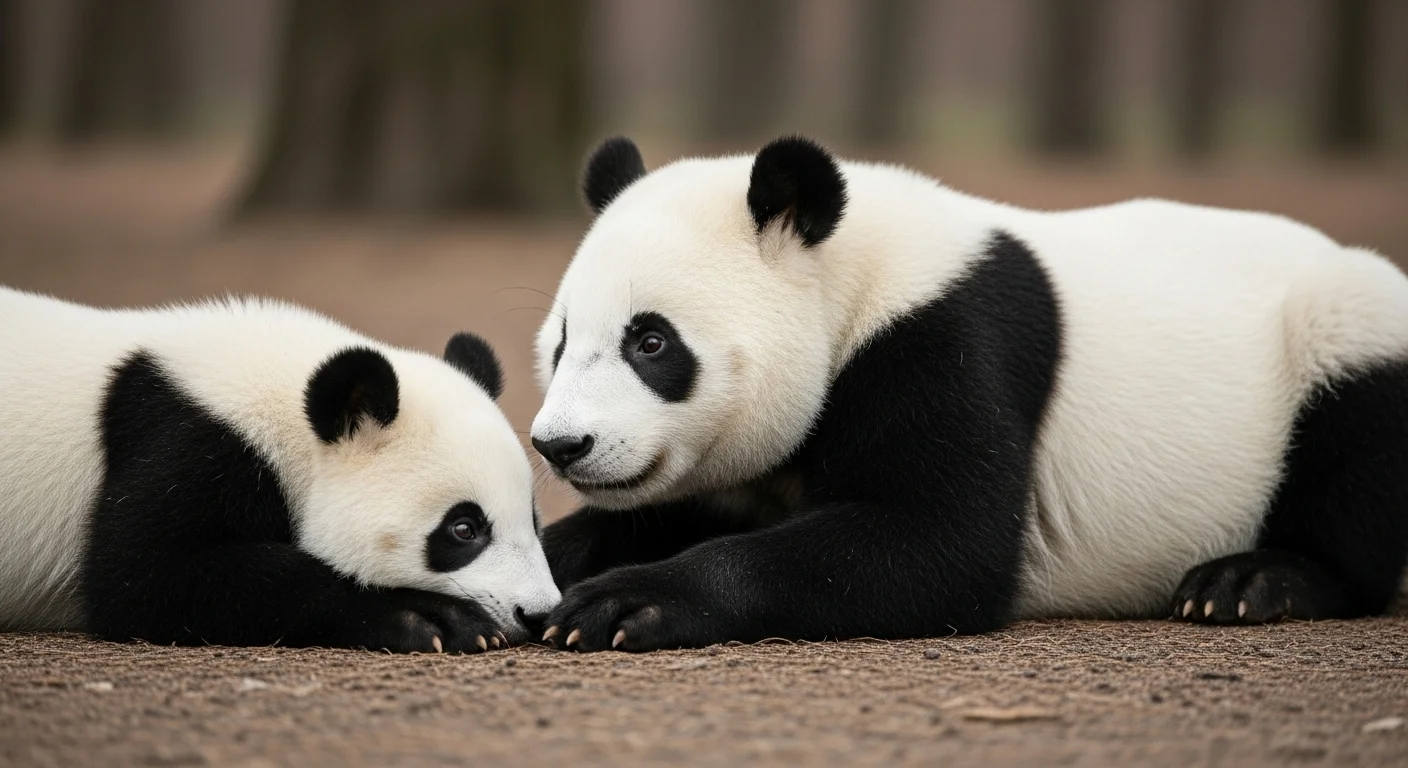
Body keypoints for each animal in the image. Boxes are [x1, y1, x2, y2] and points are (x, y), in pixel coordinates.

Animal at [0, 287, 560, 653]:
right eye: (463, 529)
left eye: (534, 521)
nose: (536, 614)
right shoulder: (187, 440)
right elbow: (139, 575)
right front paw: (435, 618)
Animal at [527, 135, 1408, 652]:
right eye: (562, 342)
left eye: (651, 343)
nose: (562, 446)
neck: (847, 275)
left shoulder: (944, 337)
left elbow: (941, 542)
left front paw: (626, 603)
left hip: (1336, 335)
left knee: (1355, 444)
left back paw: (1252, 582)